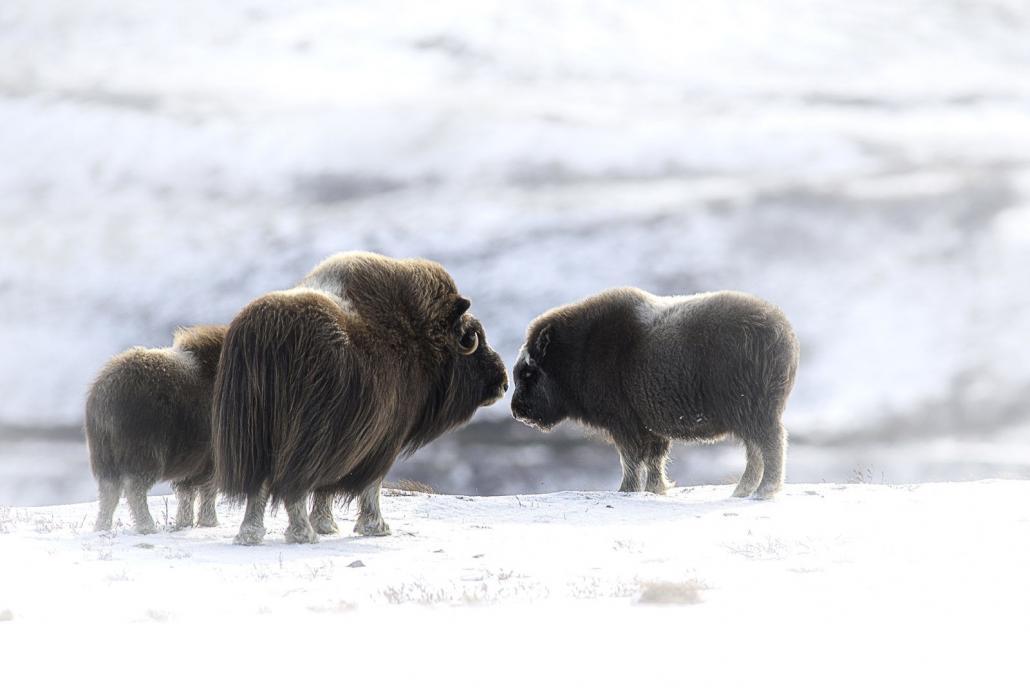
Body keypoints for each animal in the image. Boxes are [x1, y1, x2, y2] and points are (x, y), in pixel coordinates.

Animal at [86, 327, 227, 531]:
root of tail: (104, 394)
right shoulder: (211, 458)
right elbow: (208, 489)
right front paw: (210, 522)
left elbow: (187, 492)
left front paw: (184, 523)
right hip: (143, 453)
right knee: (134, 486)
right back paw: (147, 526)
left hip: (104, 456)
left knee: (109, 490)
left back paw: (102, 526)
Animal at [215, 250, 508, 543]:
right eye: (471, 336)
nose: (504, 383)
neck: (419, 338)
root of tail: (263, 335)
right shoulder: (382, 441)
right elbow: (371, 485)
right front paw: (376, 527)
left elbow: (326, 488)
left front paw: (326, 524)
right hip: (302, 440)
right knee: (293, 486)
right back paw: (302, 533)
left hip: (253, 438)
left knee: (259, 485)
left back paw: (251, 533)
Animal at [510, 290, 799, 500]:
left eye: (528, 372)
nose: (516, 411)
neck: (578, 351)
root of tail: (782, 333)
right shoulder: (648, 425)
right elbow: (653, 458)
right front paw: (656, 489)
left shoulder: (623, 423)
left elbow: (631, 457)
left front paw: (626, 490)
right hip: (749, 416)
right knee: (756, 450)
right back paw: (742, 491)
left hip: (753, 412)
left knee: (770, 444)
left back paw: (763, 491)